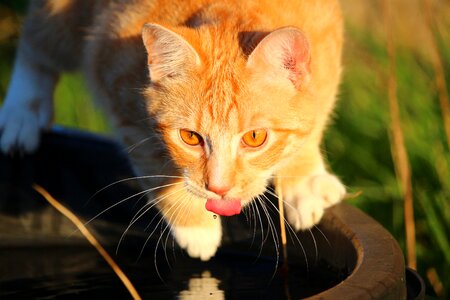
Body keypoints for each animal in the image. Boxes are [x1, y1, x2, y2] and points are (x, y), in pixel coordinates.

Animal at [0, 0, 344, 260]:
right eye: (190, 137)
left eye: (255, 138)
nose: (218, 189)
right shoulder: (120, 95)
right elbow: (155, 166)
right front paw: (197, 227)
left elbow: (310, 126)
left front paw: (304, 180)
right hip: (62, 20)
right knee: (37, 43)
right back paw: (22, 113)